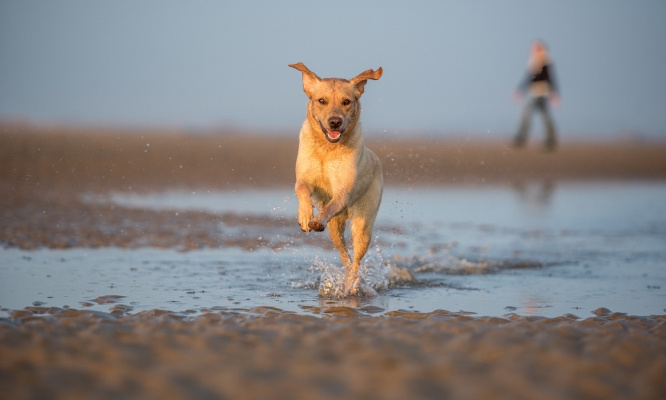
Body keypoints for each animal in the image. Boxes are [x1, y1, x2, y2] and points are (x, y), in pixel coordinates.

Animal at [288, 61, 382, 294]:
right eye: (321, 101)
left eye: (346, 102)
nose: (335, 122)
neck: (326, 149)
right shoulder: (303, 179)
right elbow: (302, 190)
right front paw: (305, 216)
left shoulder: (342, 193)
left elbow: (329, 207)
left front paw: (316, 219)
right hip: (335, 230)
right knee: (344, 254)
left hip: (362, 224)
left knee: (356, 260)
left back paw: (352, 286)